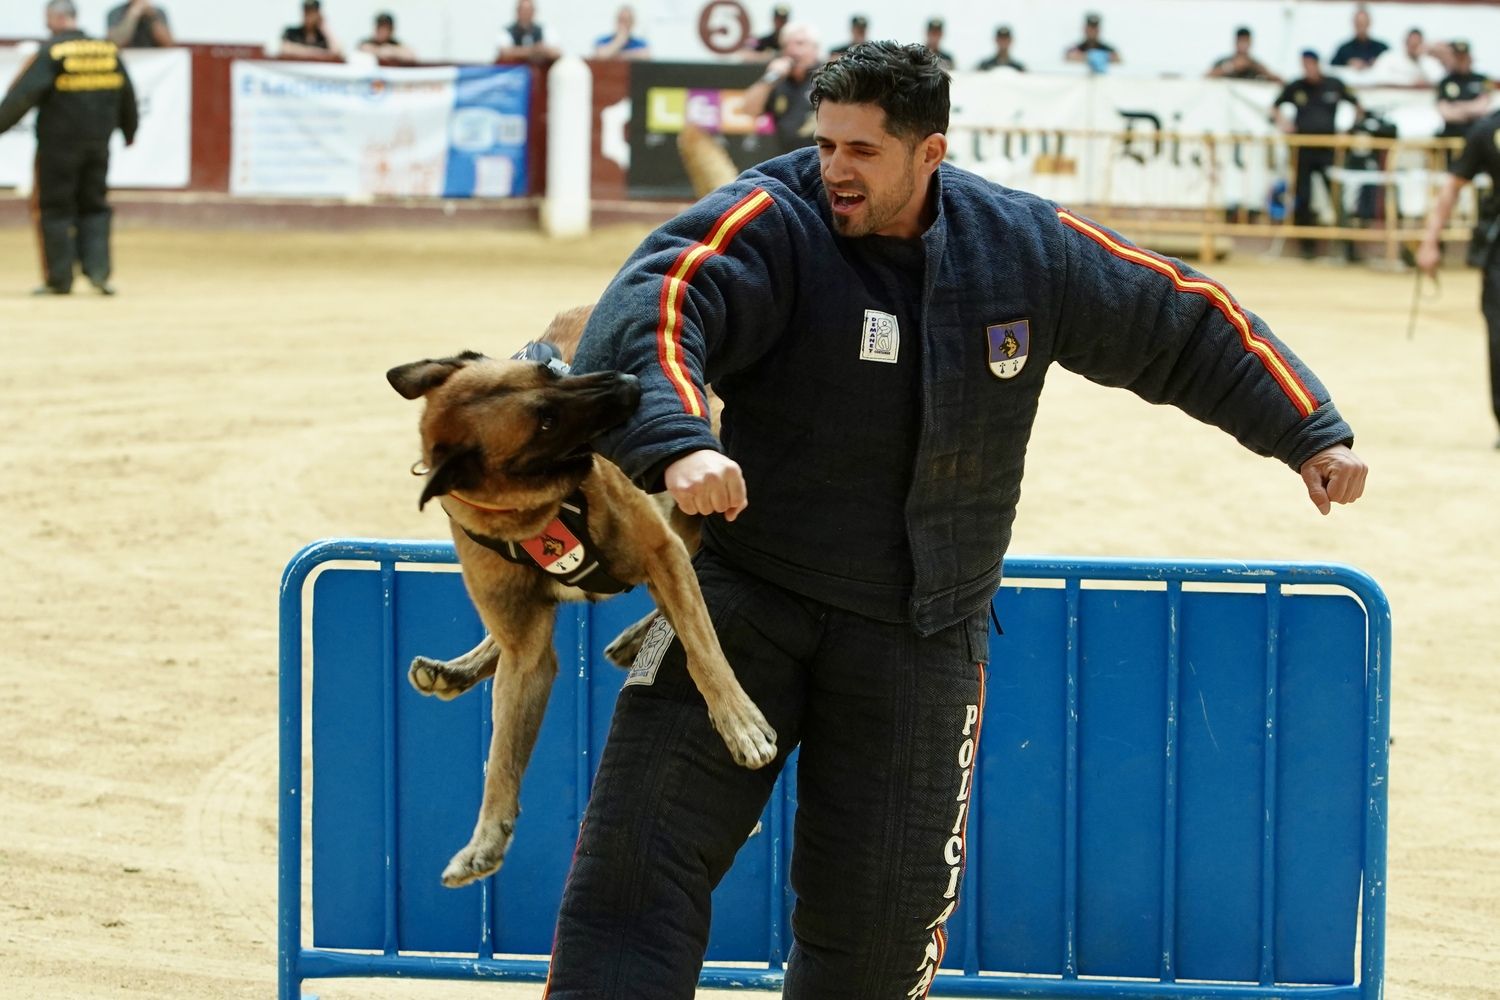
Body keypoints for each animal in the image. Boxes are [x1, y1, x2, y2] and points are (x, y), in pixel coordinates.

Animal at [387, 308, 774, 887]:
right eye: (544, 421)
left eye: (550, 371)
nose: (632, 382)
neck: (536, 510)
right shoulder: (528, 655)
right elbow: (502, 753)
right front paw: (486, 839)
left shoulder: (661, 550)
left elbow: (705, 654)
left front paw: (739, 722)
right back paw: (458, 668)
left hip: (698, 518)